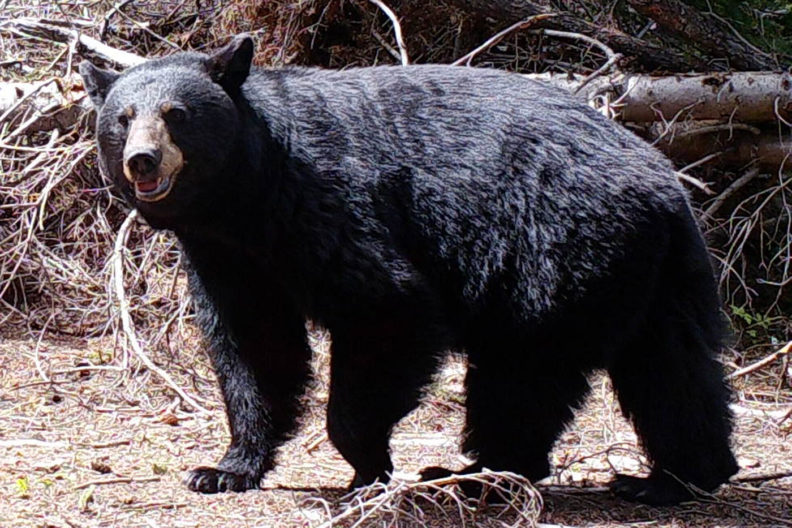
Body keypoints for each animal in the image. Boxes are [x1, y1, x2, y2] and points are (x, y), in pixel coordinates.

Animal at [79, 34, 738, 506]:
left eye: (177, 113)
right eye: (123, 117)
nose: (142, 160)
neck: (246, 196)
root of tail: (664, 181)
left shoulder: (329, 208)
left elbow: (389, 308)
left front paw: (365, 465)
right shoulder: (230, 257)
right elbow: (255, 347)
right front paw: (225, 468)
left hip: (558, 249)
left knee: (524, 369)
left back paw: (484, 471)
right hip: (661, 273)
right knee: (673, 369)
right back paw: (674, 478)